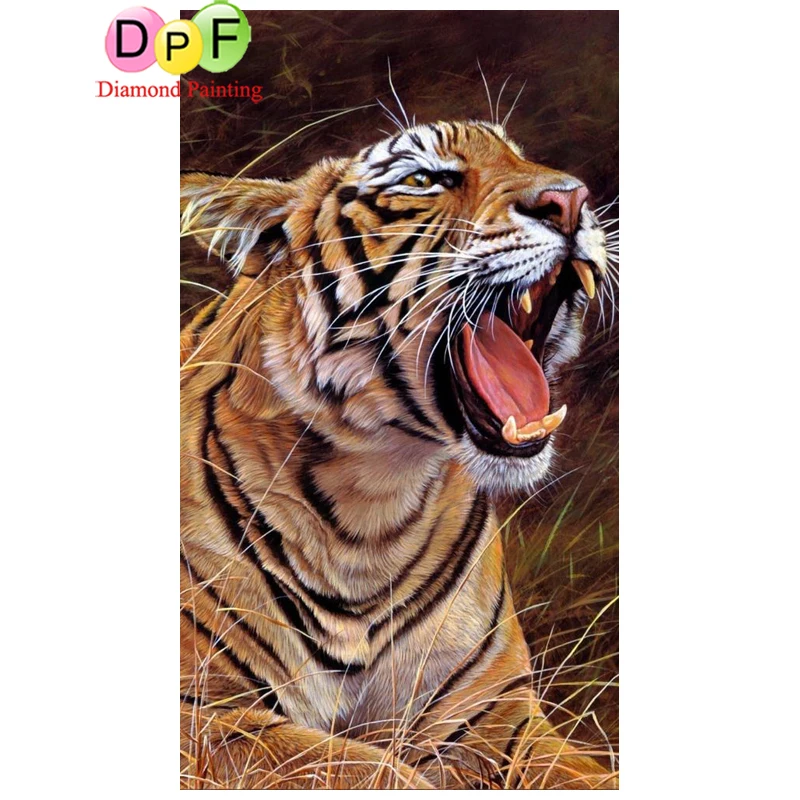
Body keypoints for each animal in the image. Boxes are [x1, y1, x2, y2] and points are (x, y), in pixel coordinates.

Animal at [180, 119, 614, 790]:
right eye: (423, 178)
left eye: (518, 155)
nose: (569, 200)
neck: (370, 505)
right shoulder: (206, 714)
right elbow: (367, 770)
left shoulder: (497, 718)